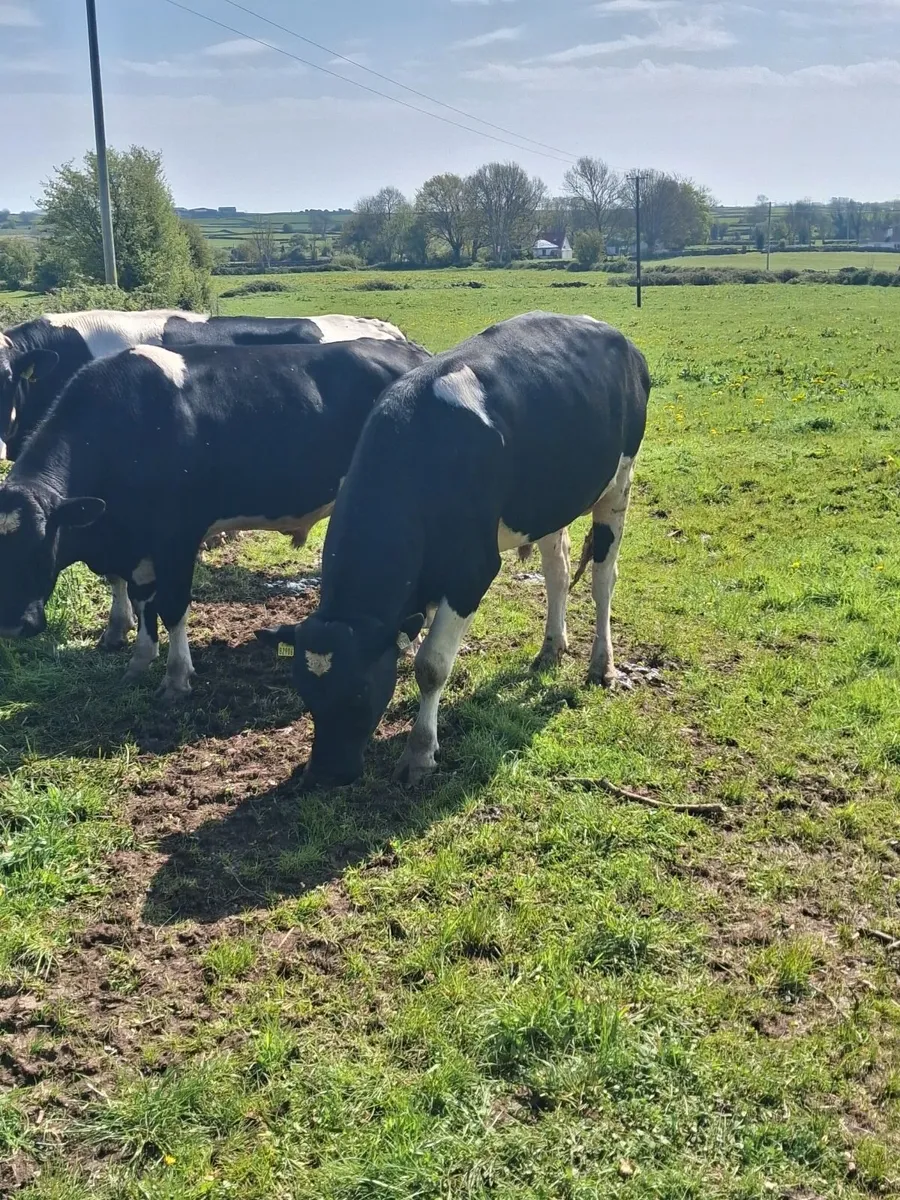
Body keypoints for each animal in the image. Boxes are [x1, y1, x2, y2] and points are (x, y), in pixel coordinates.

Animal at [0, 337, 430, 702]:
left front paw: (176, 677)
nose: (13, 625)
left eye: (41, 543)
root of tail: (413, 352)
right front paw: (139, 660)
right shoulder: (136, 545)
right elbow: (143, 601)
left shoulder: (177, 537)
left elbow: (172, 606)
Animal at [256, 312, 650, 789]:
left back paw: (601, 665)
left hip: (618, 484)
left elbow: (431, 665)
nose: (326, 774)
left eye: (360, 692)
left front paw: (419, 752)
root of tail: (619, 338)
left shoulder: (471, 570)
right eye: (306, 692)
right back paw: (551, 649)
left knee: (602, 579)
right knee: (557, 571)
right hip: (547, 502)